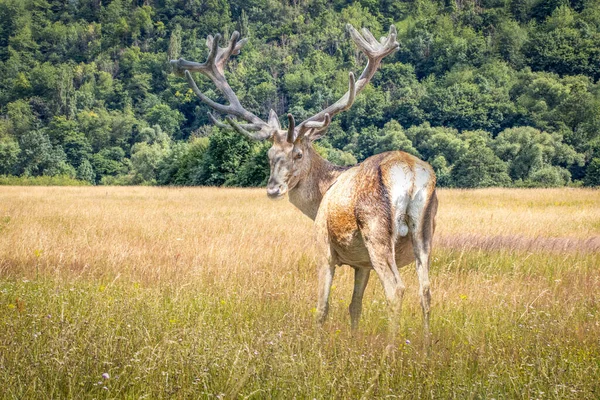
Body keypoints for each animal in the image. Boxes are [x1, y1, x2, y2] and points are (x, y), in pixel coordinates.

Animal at [171, 23, 438, 340]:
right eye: (269, 154)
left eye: (298, 153)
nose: (273, 188)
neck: (323, 193)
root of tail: (410, 173)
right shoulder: (361, 263)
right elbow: (354, 306)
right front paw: (353, 340)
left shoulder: (323, 244)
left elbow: (322, 307)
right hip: (424, 231)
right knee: (426, 292)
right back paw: (425, 345)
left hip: (376, 229)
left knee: (396, 289)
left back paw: (391, 348)